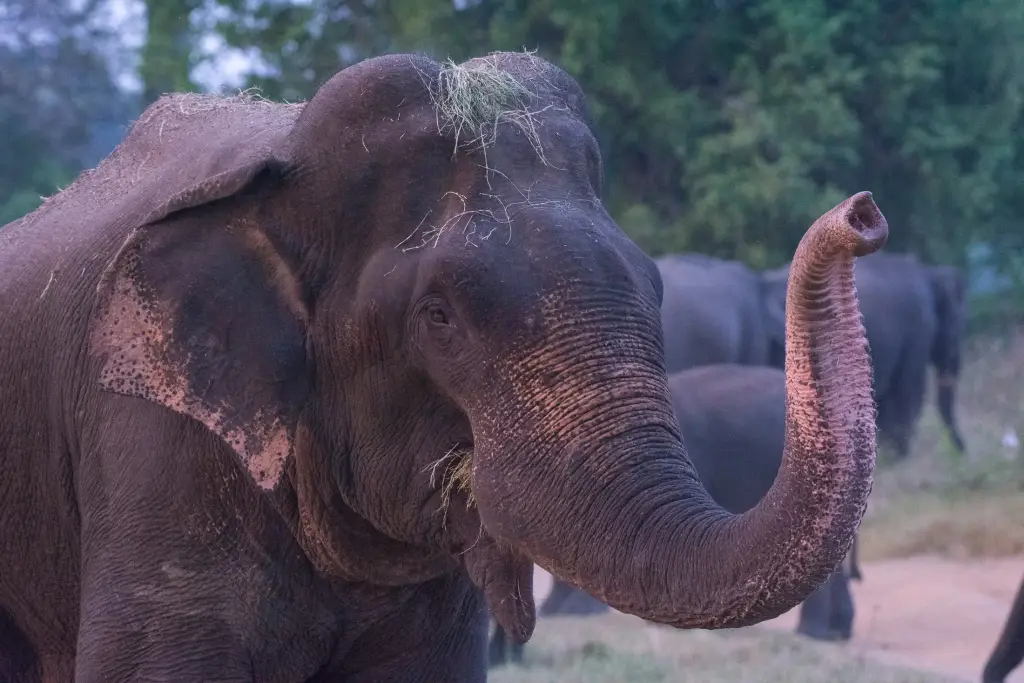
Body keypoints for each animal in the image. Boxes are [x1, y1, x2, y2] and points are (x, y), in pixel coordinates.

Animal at [763, 251, 967, 459]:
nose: (963, 452)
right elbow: (909, 391)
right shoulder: (918, 332)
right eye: (957, 323)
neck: (929, 273)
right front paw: (898, 456)